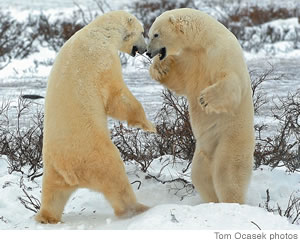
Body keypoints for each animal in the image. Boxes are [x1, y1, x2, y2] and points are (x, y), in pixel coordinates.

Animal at [146, 8, 254, 204]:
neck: (204, 40)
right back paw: (211, 201)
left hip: (230, 139)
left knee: (227, 175)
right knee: (200, 176)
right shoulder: (191, 58)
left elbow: (231, 81)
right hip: (203, 151)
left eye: (156, 34)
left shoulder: (222, 52)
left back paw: (231, 202)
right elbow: (178, 78)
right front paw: (160, 67)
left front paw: (205, 99)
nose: (148, 53)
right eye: (149, 34)